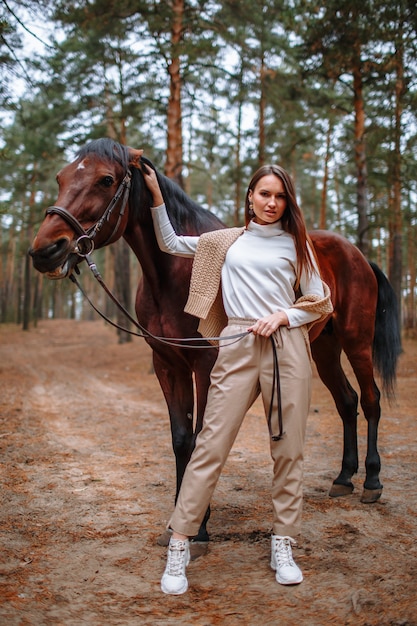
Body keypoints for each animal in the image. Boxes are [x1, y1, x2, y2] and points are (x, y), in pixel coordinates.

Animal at [28, 139, 400, 540]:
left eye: (106, 179)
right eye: (61, 177)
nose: (45, 251)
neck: (175, 274)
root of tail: (359, 256)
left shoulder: (207, 366)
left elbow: (202, 437)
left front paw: (200, 526)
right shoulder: (167, 364)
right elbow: (180, 439)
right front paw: (180, 517)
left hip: (356, 342)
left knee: (371, 400)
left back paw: (372, 482)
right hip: (324, 347)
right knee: (346, 401)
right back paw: (344, 477)